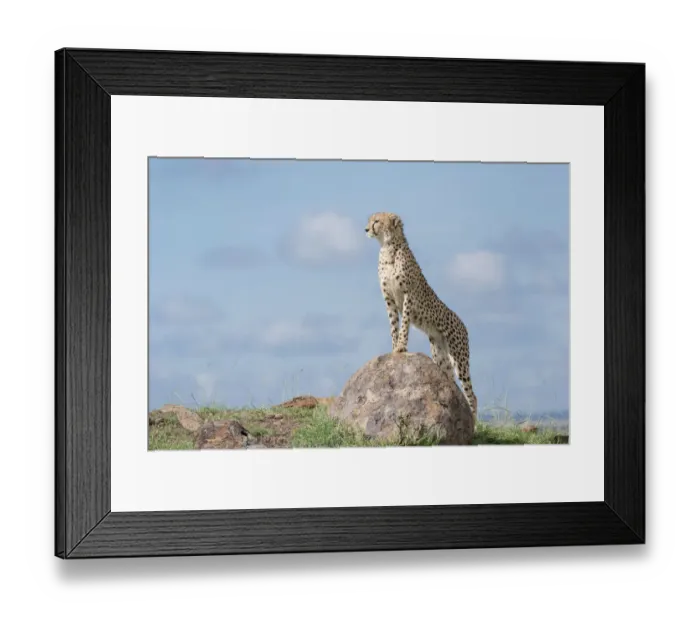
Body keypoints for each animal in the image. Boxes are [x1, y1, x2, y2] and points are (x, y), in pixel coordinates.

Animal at [365, 212, 478, 417]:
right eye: (370, 220)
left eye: (377, 221)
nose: (366, 229)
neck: (388, 249)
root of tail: (463, 323)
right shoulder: (389, 299)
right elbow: (393, 326)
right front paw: (394, 347)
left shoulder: (408, 295)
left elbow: (404, 324)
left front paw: (401, 346)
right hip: (440, 355)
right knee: (452, 384)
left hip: (459, 357)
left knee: (471, 394)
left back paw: (474, 421)